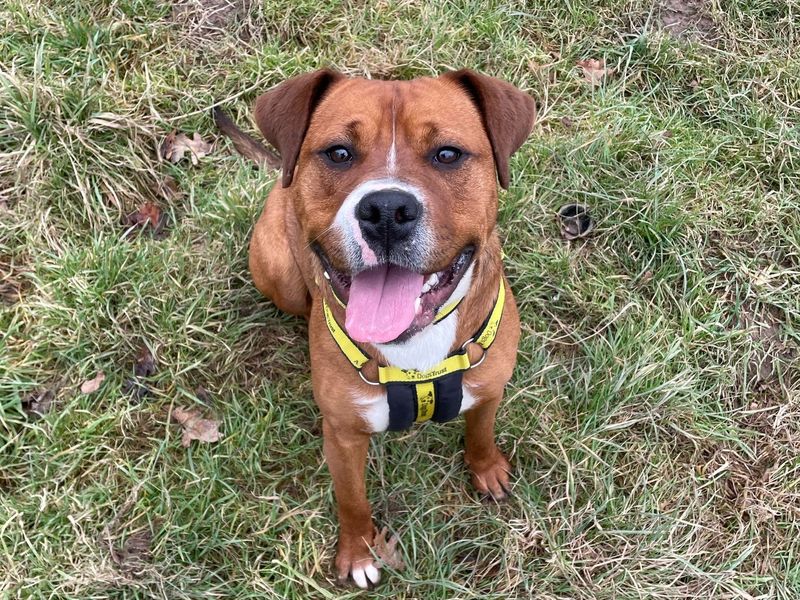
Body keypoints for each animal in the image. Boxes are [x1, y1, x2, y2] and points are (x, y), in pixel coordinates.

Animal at [225, 69, 532, 584]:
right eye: (338, 153)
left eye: (447, 154)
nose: (387, 210)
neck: (417, 348)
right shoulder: (343, 436)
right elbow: (352, 499)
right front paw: (358, 554)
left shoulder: (489, 387)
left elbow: (481, 431)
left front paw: (486, 468)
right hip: (278, 273)